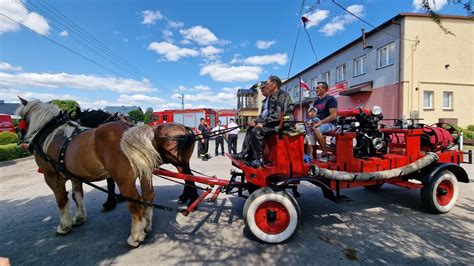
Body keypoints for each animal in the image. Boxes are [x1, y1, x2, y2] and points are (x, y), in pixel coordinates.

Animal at [16, 98, 159, 247]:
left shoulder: (51, 176)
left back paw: (135, 236)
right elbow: (77, 195)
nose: (19, 134)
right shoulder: (75, 176)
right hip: (144, 174)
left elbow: (62, 200)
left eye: (22, 118)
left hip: (124, 179)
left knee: (135, 204)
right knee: (148, 196)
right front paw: (79, 218)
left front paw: (64, 226)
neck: (52, 134)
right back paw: (147, 225)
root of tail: (130, 130)